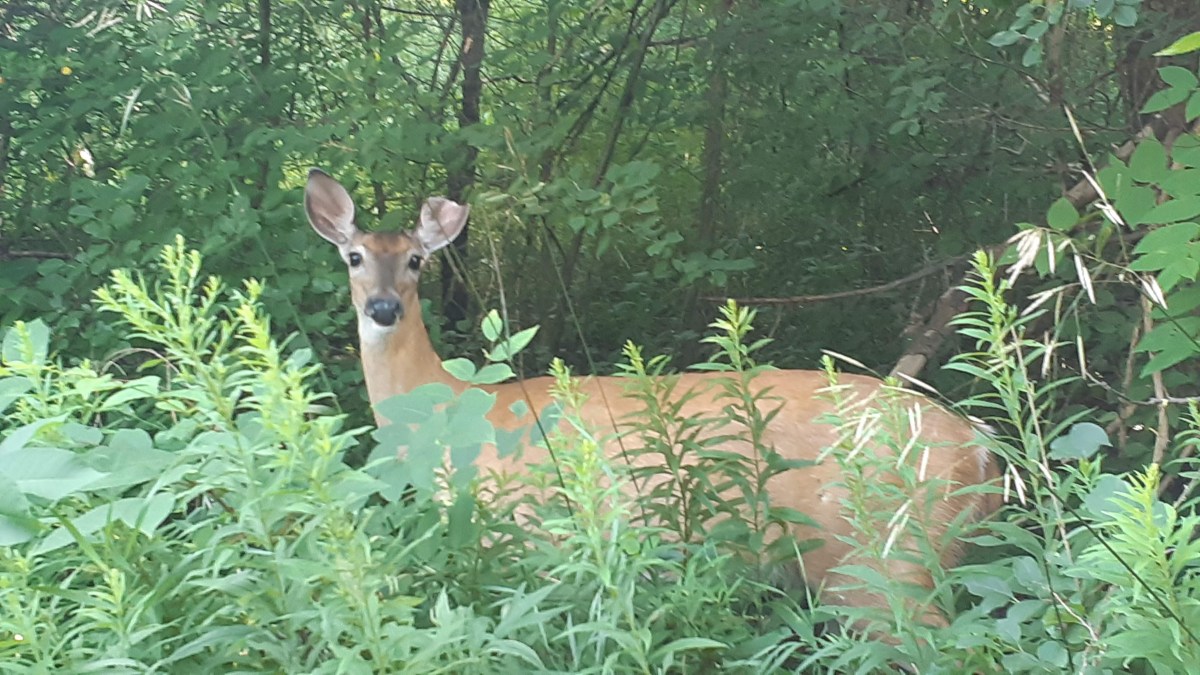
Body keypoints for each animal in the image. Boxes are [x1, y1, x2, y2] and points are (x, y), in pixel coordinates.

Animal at [304, 168, 1001, 631]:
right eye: (354, 256)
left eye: (416, 261)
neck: (451, 413)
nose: (384, 308)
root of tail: (981, 452)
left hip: (882, 558)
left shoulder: (534, 538)